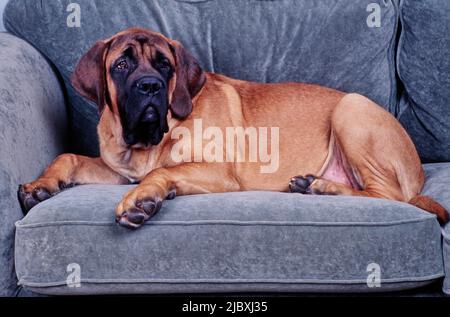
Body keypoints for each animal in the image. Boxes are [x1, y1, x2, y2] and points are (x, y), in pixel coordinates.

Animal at [17, 27, 446, 227]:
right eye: (121, 64)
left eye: (164, 65)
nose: (150, 86)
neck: (148, 143)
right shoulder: (117, 169)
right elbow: (68, 156)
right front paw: (41, 185)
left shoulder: (219, 173)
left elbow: (162, 171)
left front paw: (143, 199)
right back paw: (315, 185)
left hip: (350, 108)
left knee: (389, 196)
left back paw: (323, 187)